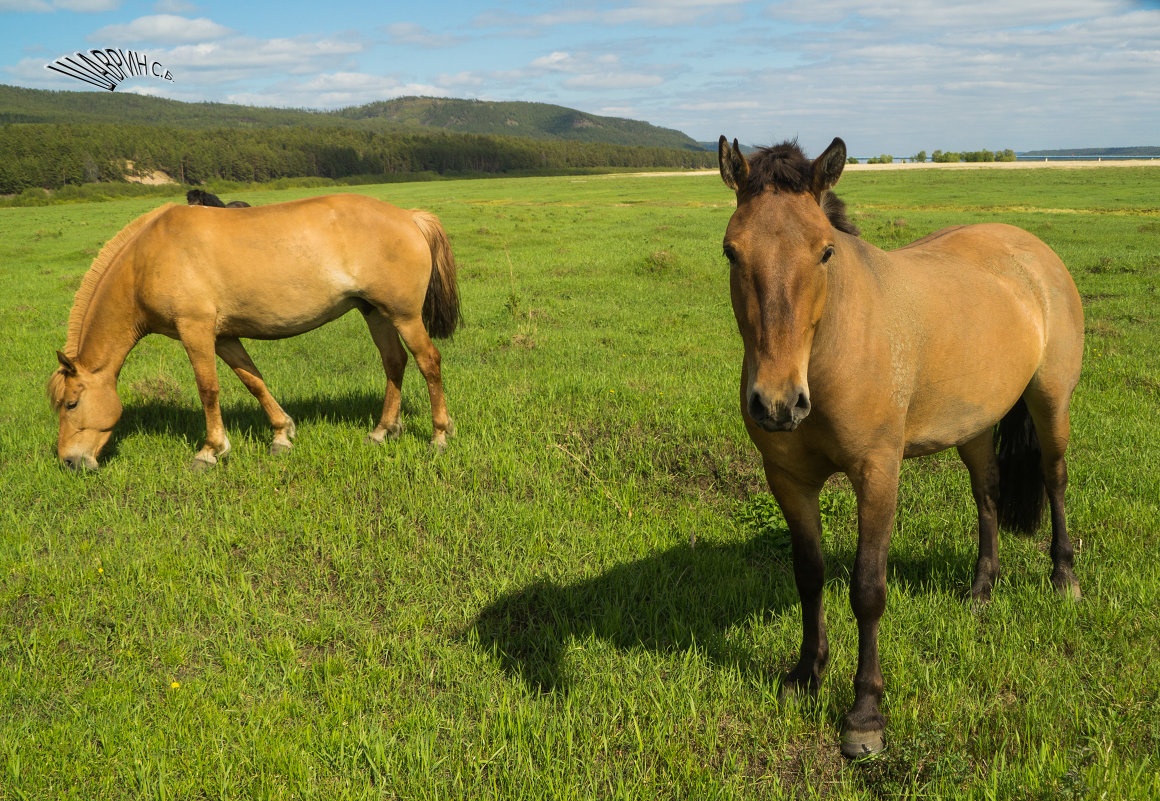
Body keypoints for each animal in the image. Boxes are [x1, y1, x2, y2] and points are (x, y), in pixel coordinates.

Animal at [49, 194, 459, 470]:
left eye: (71, 404)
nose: (69, 461)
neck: (146, 261)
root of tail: (409, 216)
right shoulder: (224, 337)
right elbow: (253, 381)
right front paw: (282, 434)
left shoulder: (195, 331)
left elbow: (208, 389)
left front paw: (210, 451)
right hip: (376, 312)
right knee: (394, 362)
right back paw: (382, 430)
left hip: (405, 316)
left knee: (428, 362)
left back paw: (439, 436)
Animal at [714, 136, 1085, 760]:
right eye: (730, 252)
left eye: (825, 252)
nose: (777, 404)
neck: (833, 348)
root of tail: (1034, 252)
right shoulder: (788, 479)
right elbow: (809, 574)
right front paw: (806, 675)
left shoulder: (877, 473)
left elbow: (867, 589)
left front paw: (865, 714)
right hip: (974, 425)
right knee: (987, 495)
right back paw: (981, 589)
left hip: (1050, 402)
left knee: (1054, 479)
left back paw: (1063, 578)